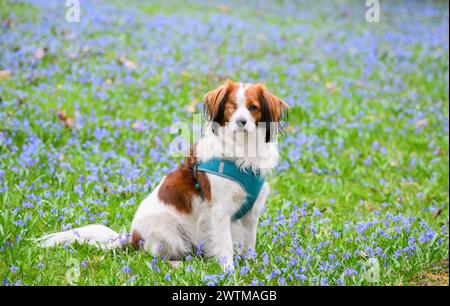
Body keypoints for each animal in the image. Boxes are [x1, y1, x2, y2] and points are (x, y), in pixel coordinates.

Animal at [36, 79, 288, 270]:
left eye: (253, 107)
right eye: (232, 107)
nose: (241, 122)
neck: (242, 149)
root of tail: (132, 236)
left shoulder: (252, 213)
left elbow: (249, 243)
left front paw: (251, 265)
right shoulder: (219, 212)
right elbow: (225, 246)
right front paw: (229, 272)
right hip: (168, 230)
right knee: (154, 256)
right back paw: (178, 265)